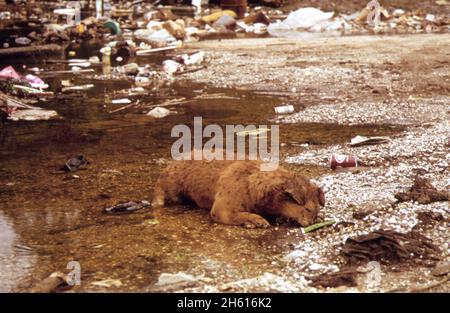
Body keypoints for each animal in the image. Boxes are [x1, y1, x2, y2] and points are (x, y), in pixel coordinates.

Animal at [153, 155, 326, 227]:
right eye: (307, 209)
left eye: (317, 209)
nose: (313, 222)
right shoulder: (222, 208)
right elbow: (237, 215)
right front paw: (257, 221)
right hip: (170, 182)